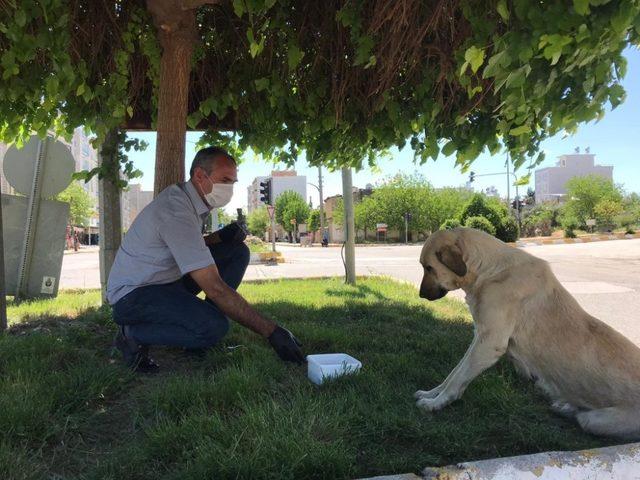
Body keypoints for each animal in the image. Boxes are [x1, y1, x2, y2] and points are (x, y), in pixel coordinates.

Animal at [416, 227, 640, 440]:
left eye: (429, 268)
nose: (420, 295)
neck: (488, 270)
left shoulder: (489, 344)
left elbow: (457, 378)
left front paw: (435, 404)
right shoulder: (479, 338)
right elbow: (454, 372)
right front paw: (432, 393)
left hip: (595, 420)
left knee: (582, 417)